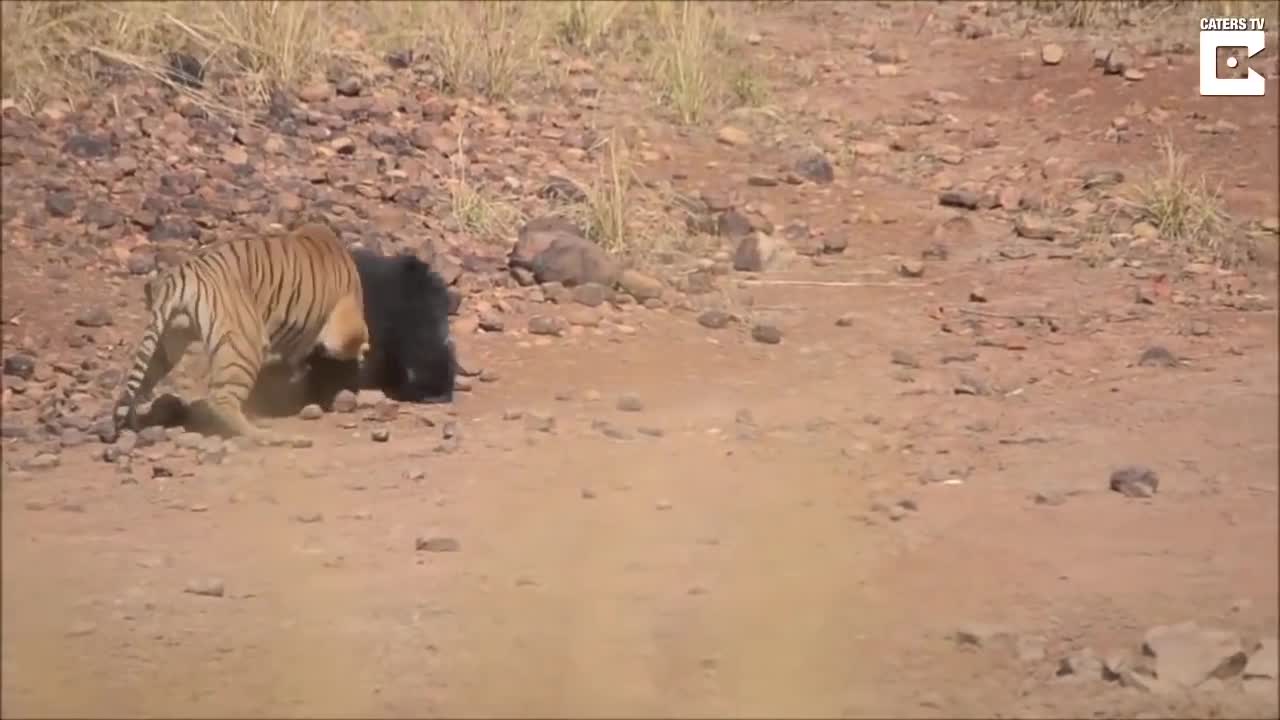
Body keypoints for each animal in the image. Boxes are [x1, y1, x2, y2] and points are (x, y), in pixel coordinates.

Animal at [110, 221, 373, 440]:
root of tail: (180, 276)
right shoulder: (344, 325)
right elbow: (355, 341)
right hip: (244, 345)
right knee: (222, 398)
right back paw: (263, 434)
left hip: (165, 344)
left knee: (138, 386)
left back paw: (133, 424)